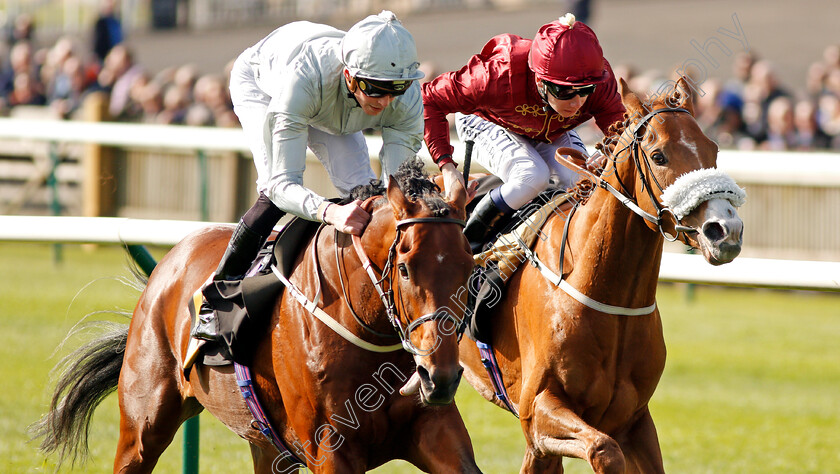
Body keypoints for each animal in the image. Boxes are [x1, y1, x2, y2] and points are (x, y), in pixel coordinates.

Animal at [34, 161, 480, 472]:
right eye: (404, 269)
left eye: (468, 267)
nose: (440, 377)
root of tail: (169, 263)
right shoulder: (330, 449)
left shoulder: (434, 430)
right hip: (143, 422)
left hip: (266, 442)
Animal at [462, 76, 744, 472]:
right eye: (659, 156)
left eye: (713, 149)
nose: (726, 230)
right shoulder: (538, 410)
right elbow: (603, 449)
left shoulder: (634, 419)